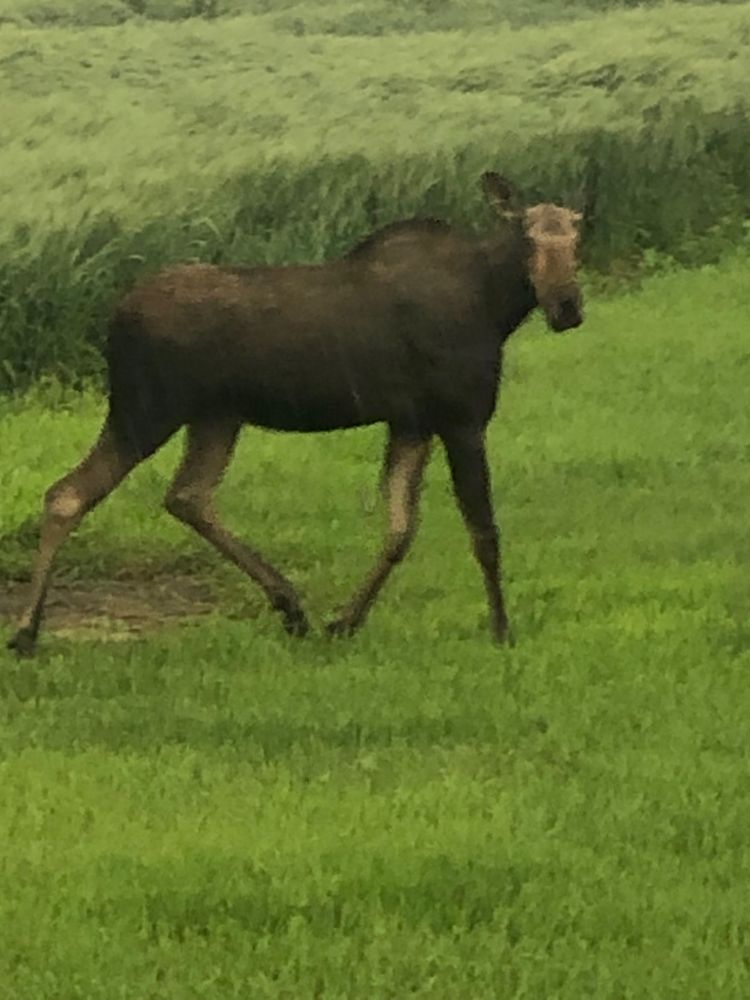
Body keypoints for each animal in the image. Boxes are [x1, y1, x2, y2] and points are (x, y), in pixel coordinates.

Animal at [7, 171, 584, 657]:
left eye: (579, 237)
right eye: (527, 237)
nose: (567, 306)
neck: (495, 305)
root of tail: (112, 319)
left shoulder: (412, 423)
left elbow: (400, 530)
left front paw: (345, 621)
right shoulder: (462, 417)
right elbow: (484, 533)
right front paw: (501, 630)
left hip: (215, 416)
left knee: (186, 495)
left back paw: (291, 606)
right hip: (147, 407)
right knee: (68, 493)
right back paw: (24, 632)